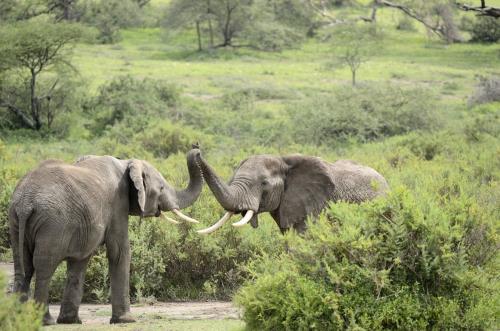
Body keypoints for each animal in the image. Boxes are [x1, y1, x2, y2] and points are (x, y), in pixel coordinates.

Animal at [8, 148, 202, 326]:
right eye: (161, 188)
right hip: (52, 224)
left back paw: (19, 320)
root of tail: (25, 202)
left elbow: (79, 262)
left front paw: (70, 321)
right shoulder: (118, 203)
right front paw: (125, 320)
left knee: (23, 268)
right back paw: (45, 321)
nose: (197, 150)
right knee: (43, 268)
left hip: (16, 221)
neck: (126, 163)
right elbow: (120, 252)